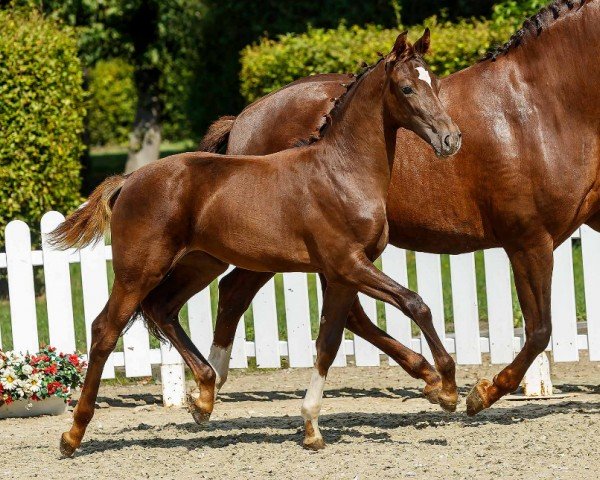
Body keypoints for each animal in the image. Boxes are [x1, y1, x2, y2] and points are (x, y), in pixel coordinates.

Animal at [51, 32, 462, 454]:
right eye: (407, 87)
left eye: (435, 83)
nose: (451, 139)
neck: (341, 171)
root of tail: (129, 180)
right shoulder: (348, 264)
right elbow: (416, 303)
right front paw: (447, 388)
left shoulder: (343, 275)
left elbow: (329, 343)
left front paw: (312, 427)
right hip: (138, 272)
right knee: (104, 331)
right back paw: (73, 434)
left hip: (201, 263)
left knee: (163, 308)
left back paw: (204, 395)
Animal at [199, 0, 596, 416]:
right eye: (406, 88)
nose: (450, 139)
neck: (541, 104)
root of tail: (243, 119)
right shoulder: (529, 240)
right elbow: (539, 330)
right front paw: (482, 393)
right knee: (238, 292)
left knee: (319, 309)